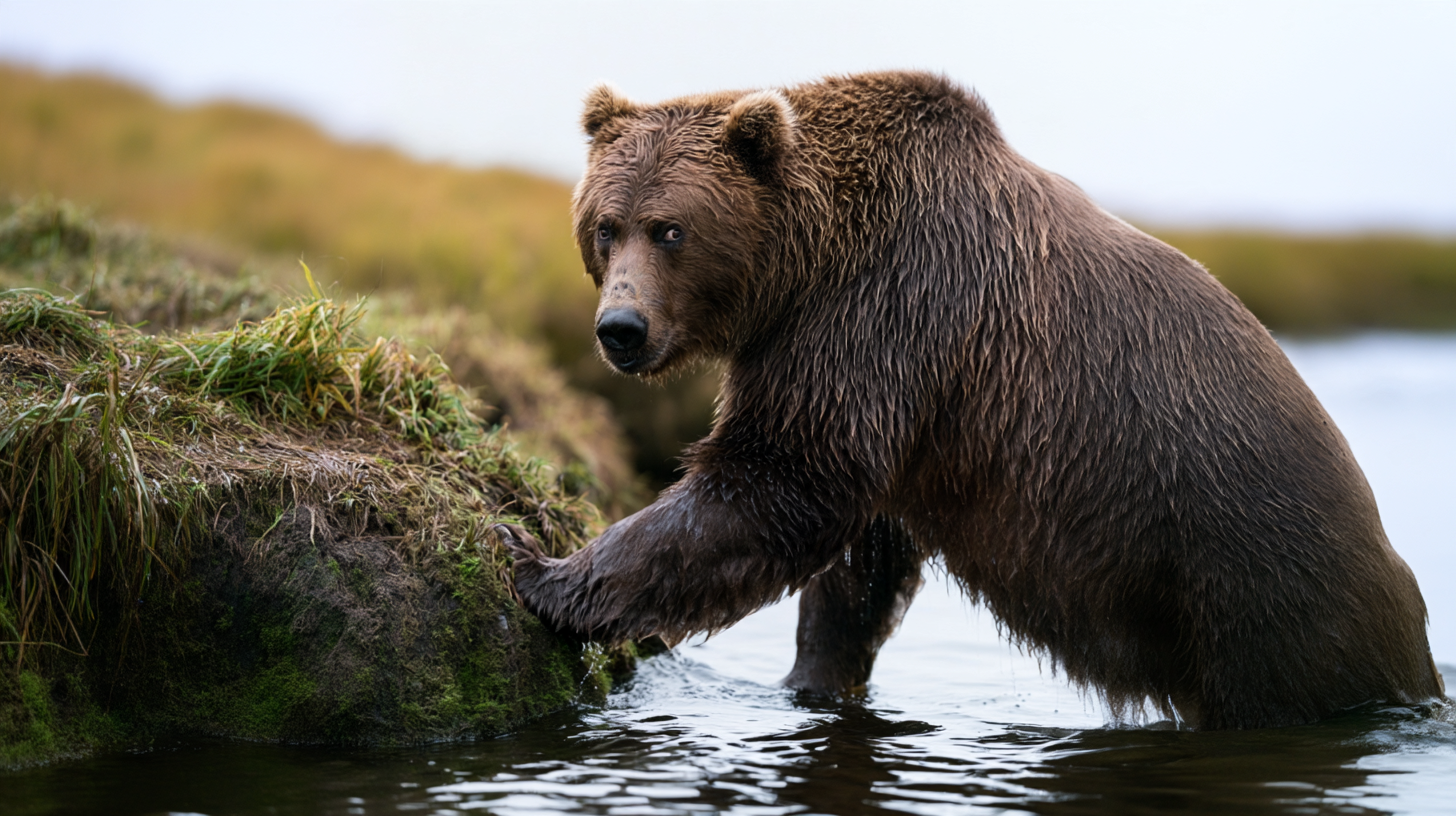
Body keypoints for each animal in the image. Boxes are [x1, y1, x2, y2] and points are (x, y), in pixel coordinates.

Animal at [497, 71, 1446, 730]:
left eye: (671, 229)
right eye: (604, 226)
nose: (621, 329)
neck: (801, 268)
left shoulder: (882, 315)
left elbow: (778, 482)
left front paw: (539, 567)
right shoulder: (886, 388)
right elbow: (859, 555)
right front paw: (809, 681)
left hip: (1253, 583)